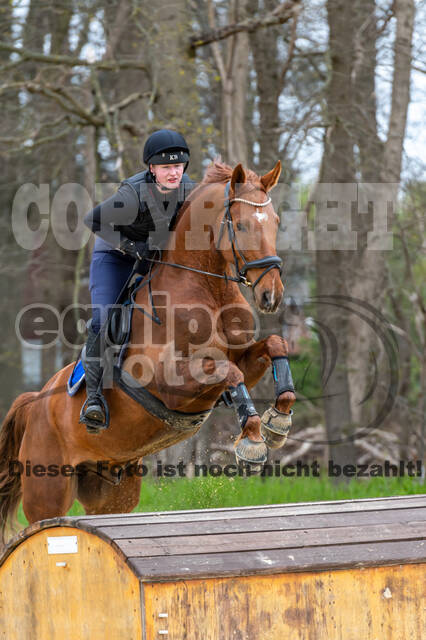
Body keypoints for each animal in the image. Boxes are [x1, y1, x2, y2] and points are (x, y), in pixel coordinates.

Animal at [0, 161, 296, 544]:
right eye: (242, 225)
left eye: (275, 221)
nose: (271, 296)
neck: (207, 288)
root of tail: (33, 402)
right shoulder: (169, 383)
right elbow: (229, 373)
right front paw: (253, 440)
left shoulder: (241, 358)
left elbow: (273, 347)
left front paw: (279, 422)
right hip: (46, 488)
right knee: (40, 522)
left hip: (112, 491)